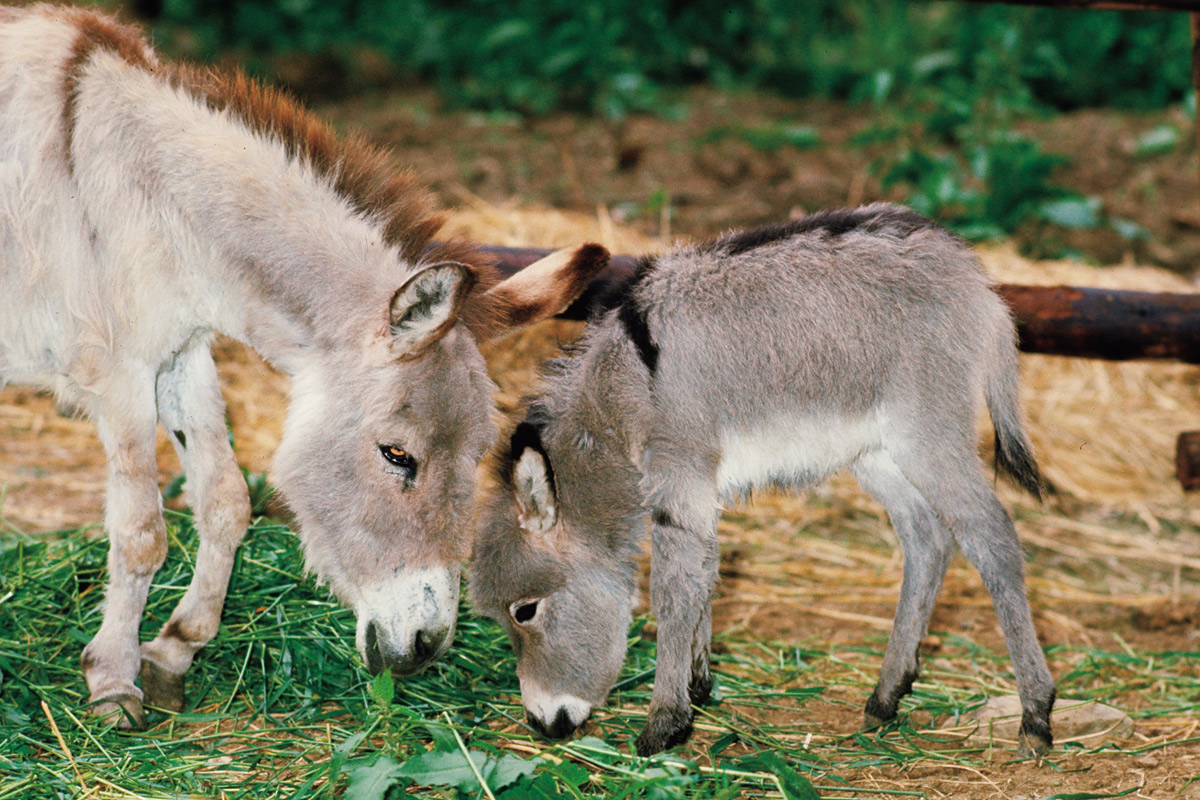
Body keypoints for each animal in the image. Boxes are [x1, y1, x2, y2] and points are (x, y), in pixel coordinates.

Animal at [472, 205, 1056, 758]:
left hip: (927, 436)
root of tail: (974, 277)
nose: (542, 726)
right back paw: (887, 695)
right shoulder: (697, 490)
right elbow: (705, 572)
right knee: (927, 539)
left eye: (524, 611)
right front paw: (697, 685)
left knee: (991, 538)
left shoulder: (679, 472)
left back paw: (1035, 713)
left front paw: (664, 723)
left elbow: (673, 590)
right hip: (877, 452)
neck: (626, 387)